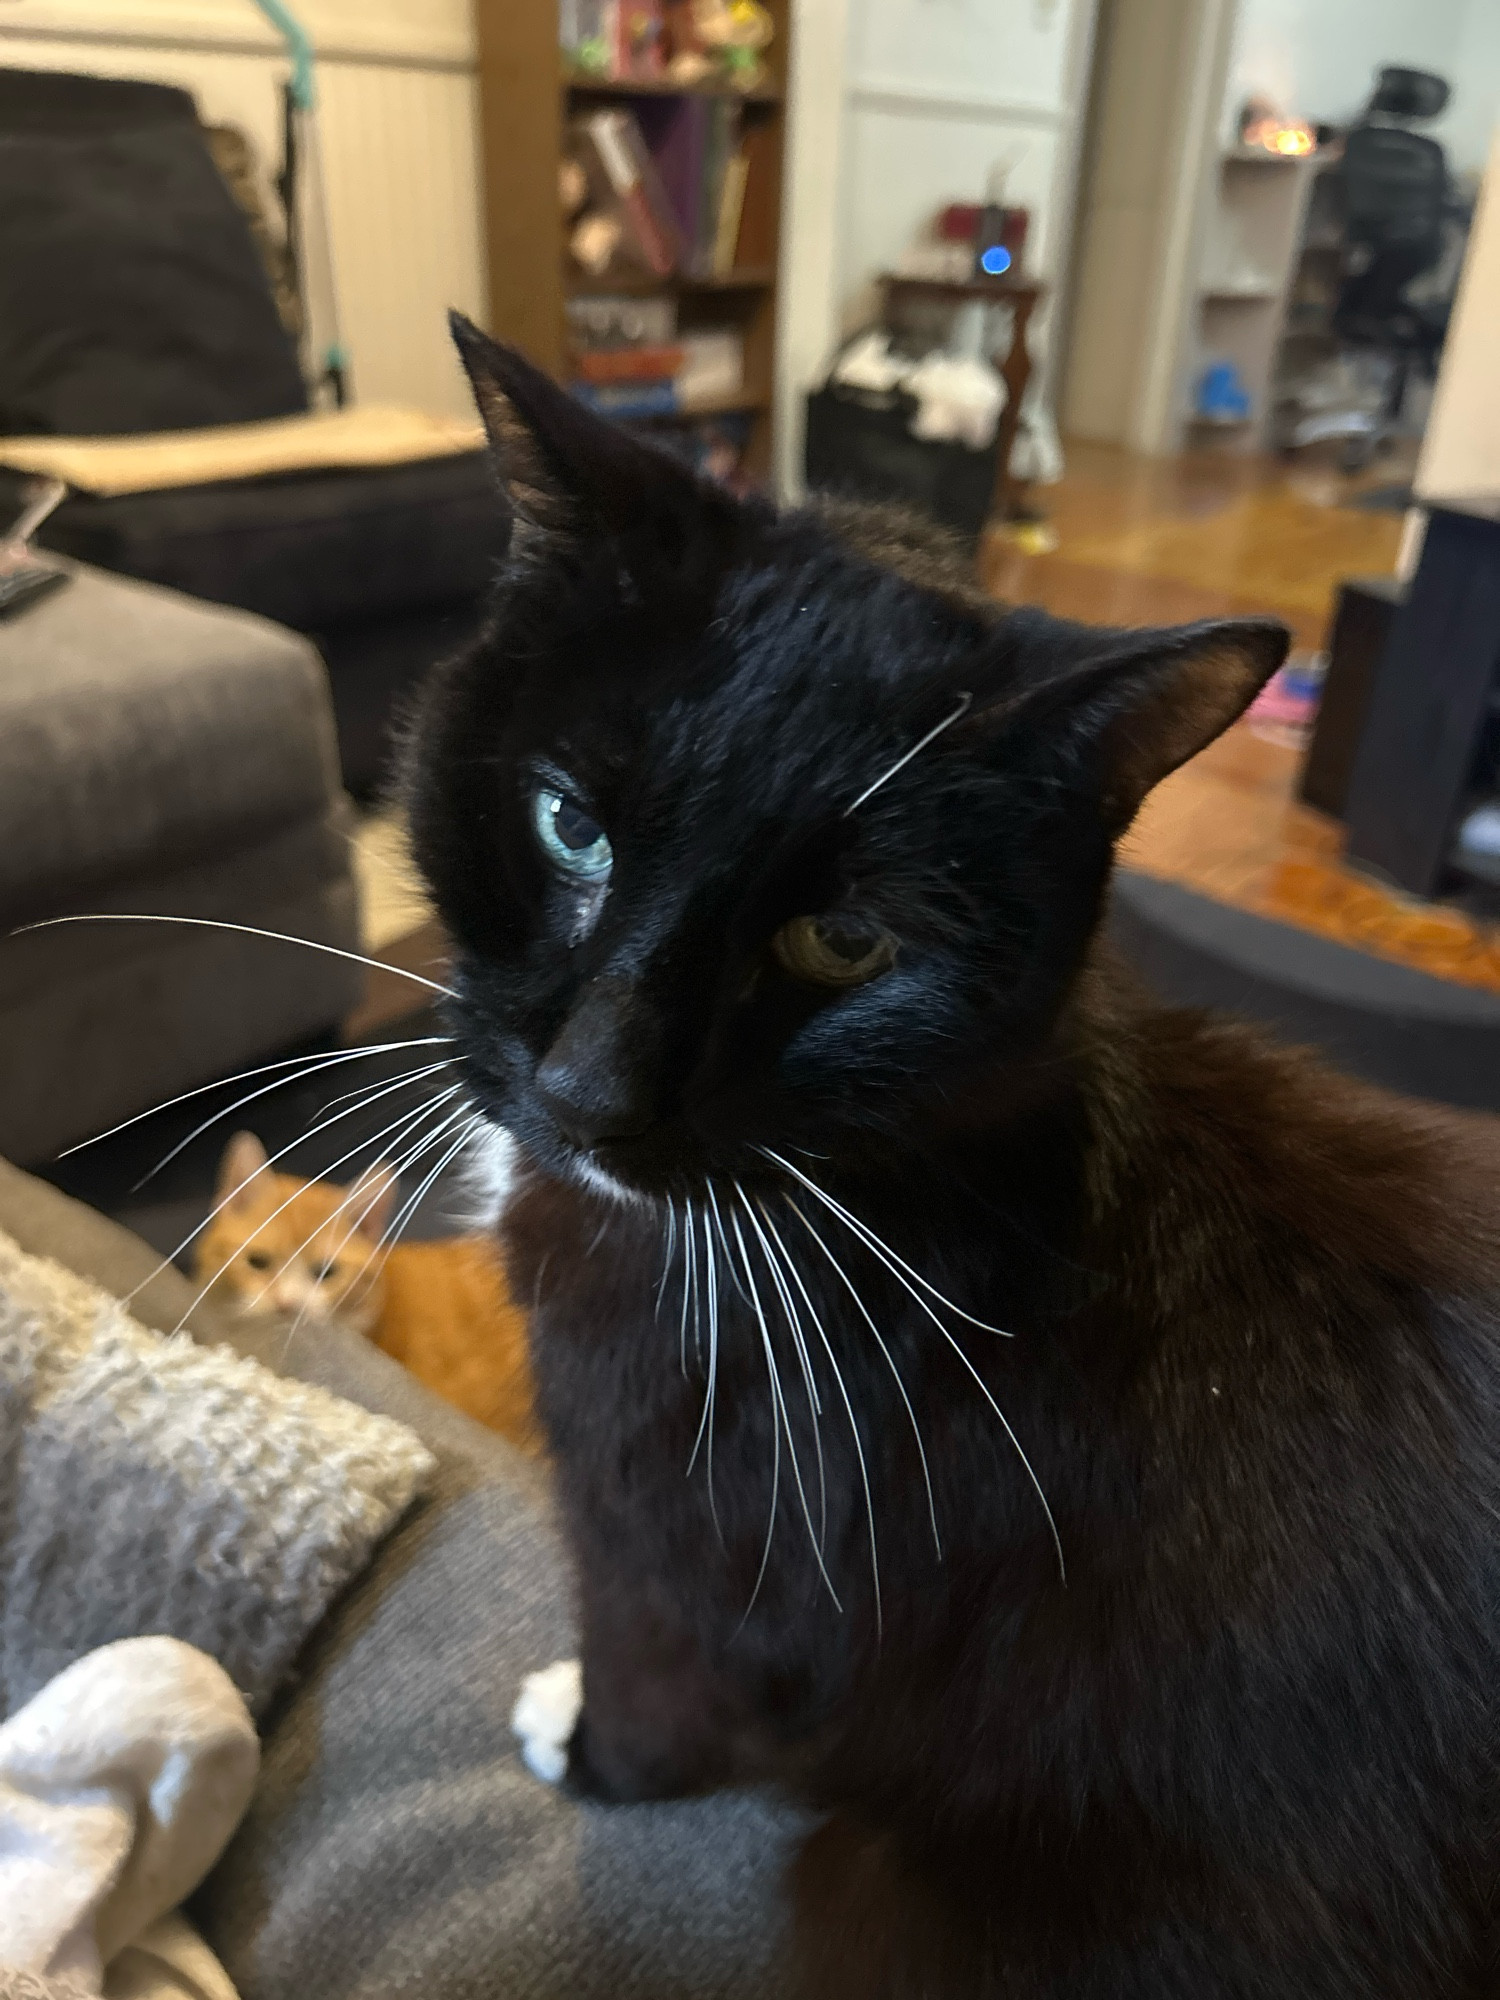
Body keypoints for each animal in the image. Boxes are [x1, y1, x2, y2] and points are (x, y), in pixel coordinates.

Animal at [406, 320, 1496, 1992]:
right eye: (568, 825)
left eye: (846, 942)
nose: (588, 1094)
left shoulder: (693, 1537)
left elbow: (662, 1678)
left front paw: (583, 1745)